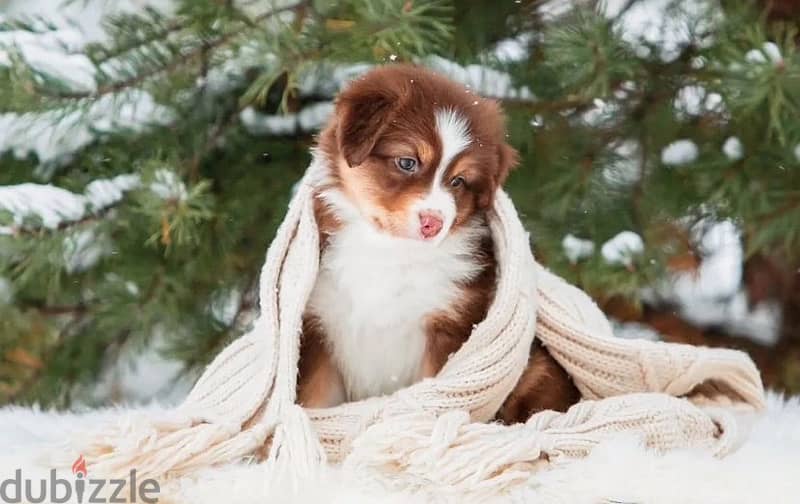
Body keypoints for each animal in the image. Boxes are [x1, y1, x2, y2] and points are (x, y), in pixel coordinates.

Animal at [296, 64, 580, 426]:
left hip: (538, 369)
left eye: (458, 181)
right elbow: (313, 402)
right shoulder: (319, 325)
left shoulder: (450, 328)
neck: (390, 253)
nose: (434, 223)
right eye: (407, 162)